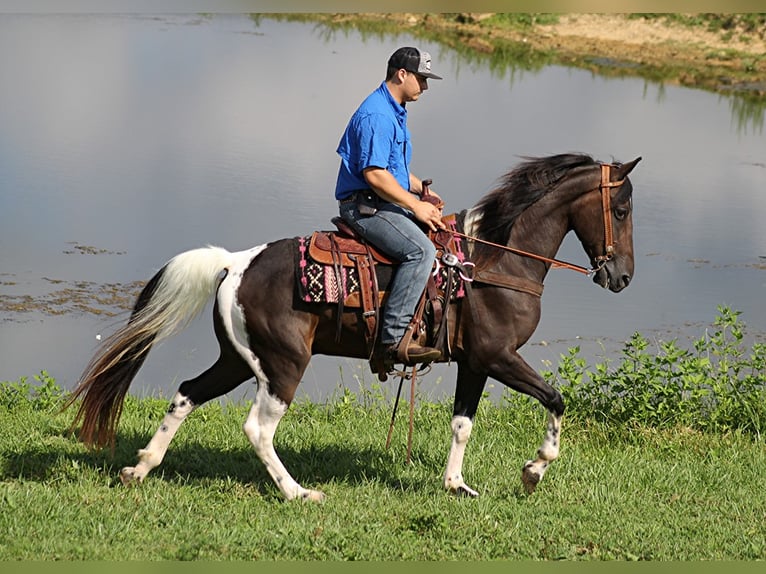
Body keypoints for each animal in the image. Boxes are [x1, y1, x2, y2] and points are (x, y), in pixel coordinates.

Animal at [64, 153, 640, 500]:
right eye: (622, 208)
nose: (623, 277)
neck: (494, 263)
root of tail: (234, 262)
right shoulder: (498, 357)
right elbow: (556, 400)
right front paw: (534, 470)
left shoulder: (475, 362)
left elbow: (462, 424)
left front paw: (456, 485)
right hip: (283, 365)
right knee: (258, 428)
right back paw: (298, 493)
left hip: (239, 359)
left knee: (186, 394)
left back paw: (140, 467)